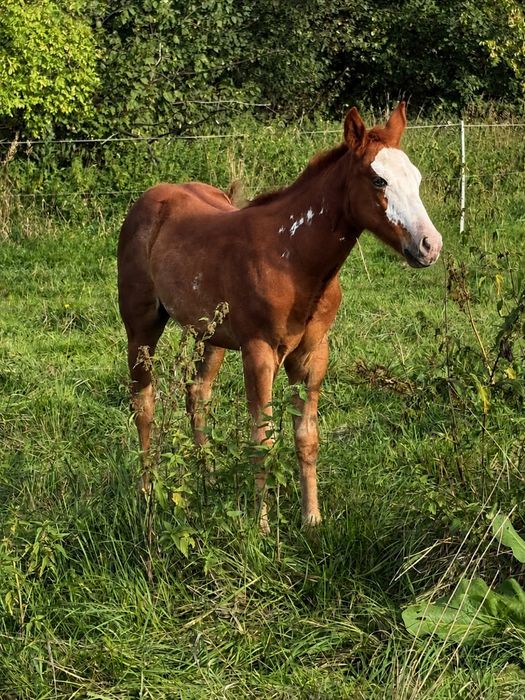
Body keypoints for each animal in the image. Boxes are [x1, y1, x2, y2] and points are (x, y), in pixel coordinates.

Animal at [117, 102, 442, 532]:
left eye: (417, 178)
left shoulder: (312, 354)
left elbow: (307, 436)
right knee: (144, 402)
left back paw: (208, 479)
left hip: (212, 335)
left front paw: (312, 519)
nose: (430, 245)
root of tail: (150, 197)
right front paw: (261, 528)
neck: (290, 255)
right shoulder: (259, 352)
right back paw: (146, 490)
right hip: (141, 326)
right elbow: (263, 438)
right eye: (378, 179)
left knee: (197, 394)